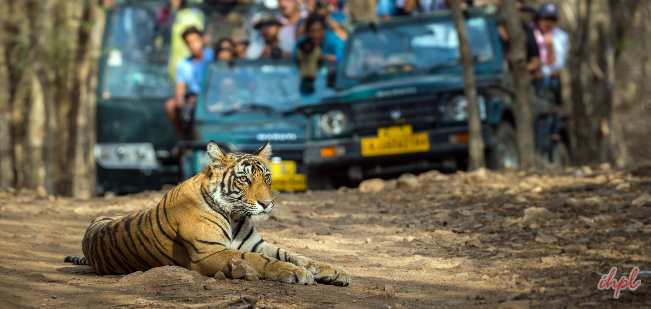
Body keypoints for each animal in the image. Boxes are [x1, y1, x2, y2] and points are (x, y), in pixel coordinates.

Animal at [65, 141, 352, 286]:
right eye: (244, 179)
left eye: (267, 178)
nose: (267, 203)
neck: (234, 214)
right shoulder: (208, 253)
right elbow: (260, 261)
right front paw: (296, 273)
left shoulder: (257, 244)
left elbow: (296, 254)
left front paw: (334, 271)